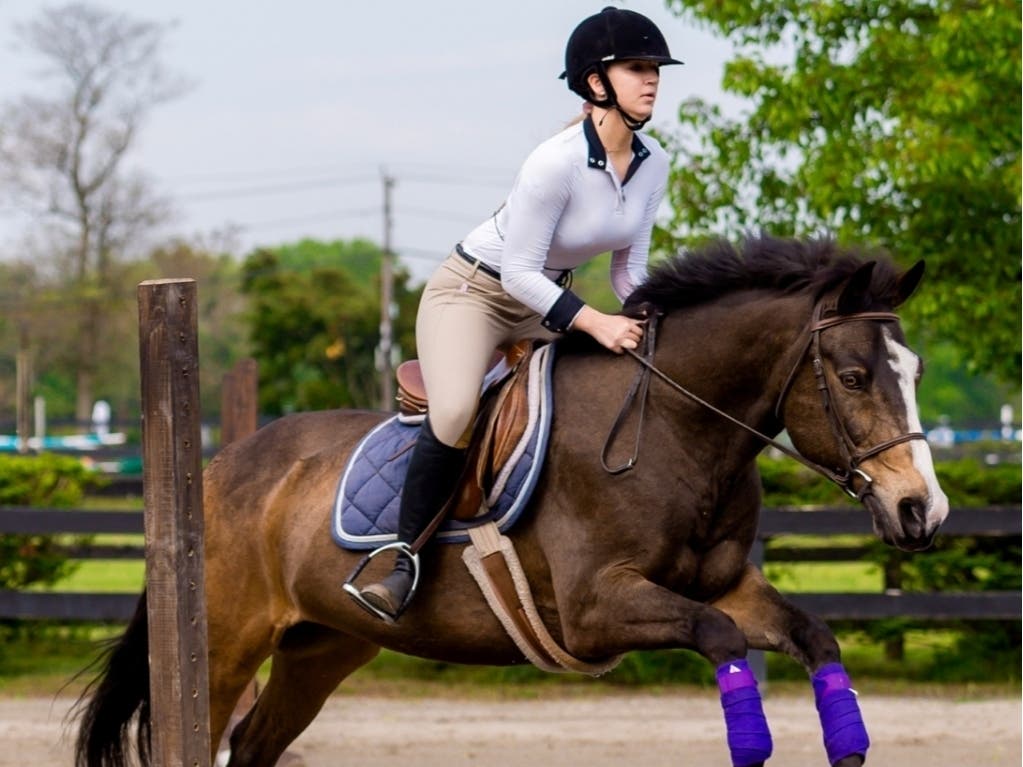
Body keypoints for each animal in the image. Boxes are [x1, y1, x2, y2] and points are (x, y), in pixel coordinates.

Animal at [73, 235, 948, 767]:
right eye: (852, 377)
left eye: (915, 371)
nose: (922, 511)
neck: (675, 426)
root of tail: (220, 467)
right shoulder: (598, 607)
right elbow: (719, 637)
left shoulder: (728, 584)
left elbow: (813, 636)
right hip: (223, 643)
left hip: (320, 647)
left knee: (254, 744)